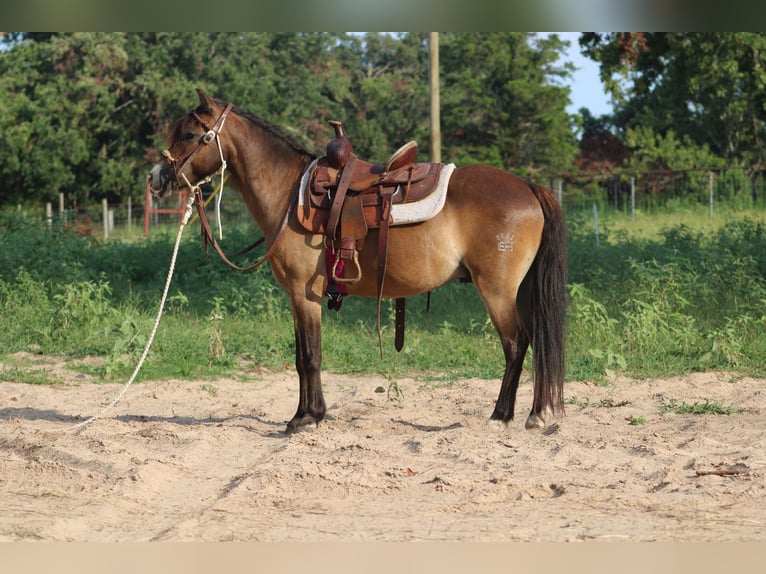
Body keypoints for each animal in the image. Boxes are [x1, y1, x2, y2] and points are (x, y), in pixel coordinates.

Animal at [152, 88, 568, 434]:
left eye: (189, 134)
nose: (156, 177)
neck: (288, 194)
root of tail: (527, 187)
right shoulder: (299, 298)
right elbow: (301, 356)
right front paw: (306, 414)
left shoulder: (304, 295)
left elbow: (310, 356)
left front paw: (307, 418)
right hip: (520, 291)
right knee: (535, 340)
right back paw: (534, 414)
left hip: (497, 290)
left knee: (515, 344)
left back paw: (501, 416)